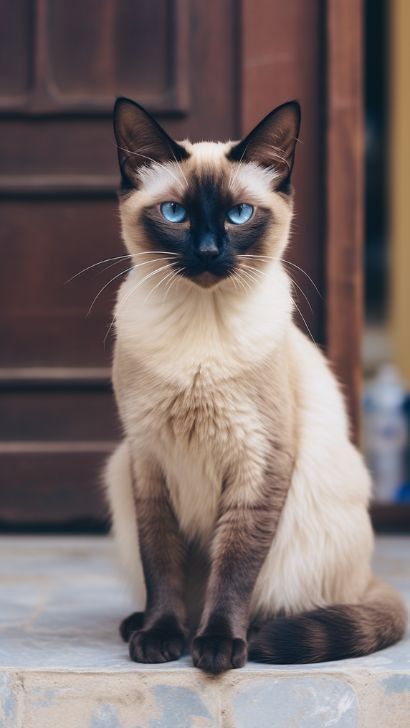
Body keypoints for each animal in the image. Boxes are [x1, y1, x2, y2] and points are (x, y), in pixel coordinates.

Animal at [104, 96, 406, 672]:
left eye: (238, 215)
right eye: (174, 214)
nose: (206, 251)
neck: (200, 329)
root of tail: (370, 575)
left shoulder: (257, 464)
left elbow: (234, 570)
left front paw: (218, 648)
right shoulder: (149, 463)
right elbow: (162, 567)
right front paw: (160, 639)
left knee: (297, 602)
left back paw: (256, 635)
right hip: (118, 474)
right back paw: (143, 626)